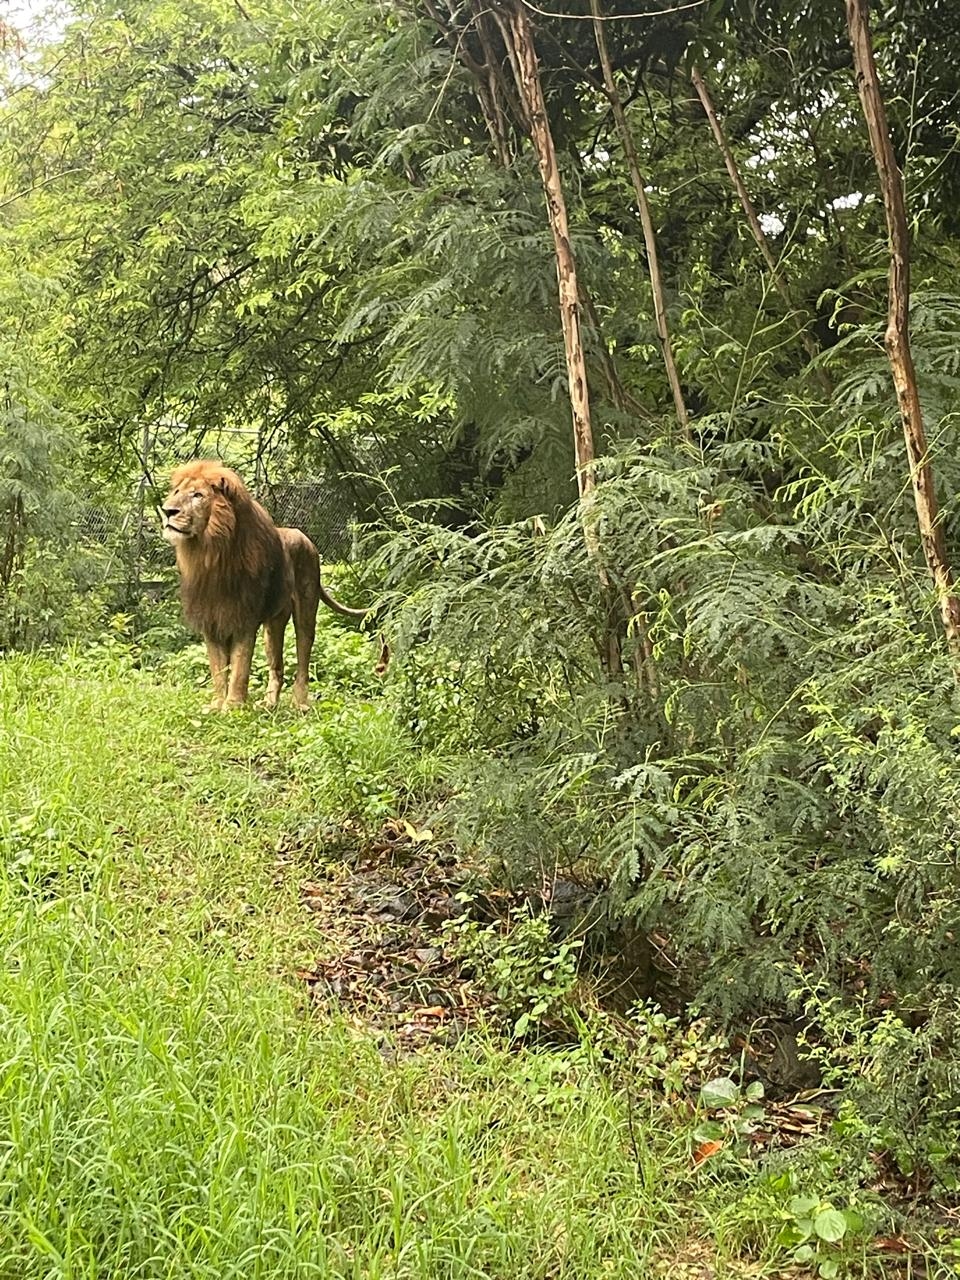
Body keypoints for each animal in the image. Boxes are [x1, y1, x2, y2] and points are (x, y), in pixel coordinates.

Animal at [158, 460, 368, 711]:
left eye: (197, 495)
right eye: (177, 492)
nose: (167, 511)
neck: (210, 554)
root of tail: (306, 539)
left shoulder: (244, 620)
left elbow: (239, 668)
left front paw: (233, 706)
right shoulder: (211, 621)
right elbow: (218, 670)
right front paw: (217, 705)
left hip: (306, 611)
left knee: (303, 660)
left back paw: (299, 703)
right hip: (273, 625)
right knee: (277, 667)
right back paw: (269, 703)